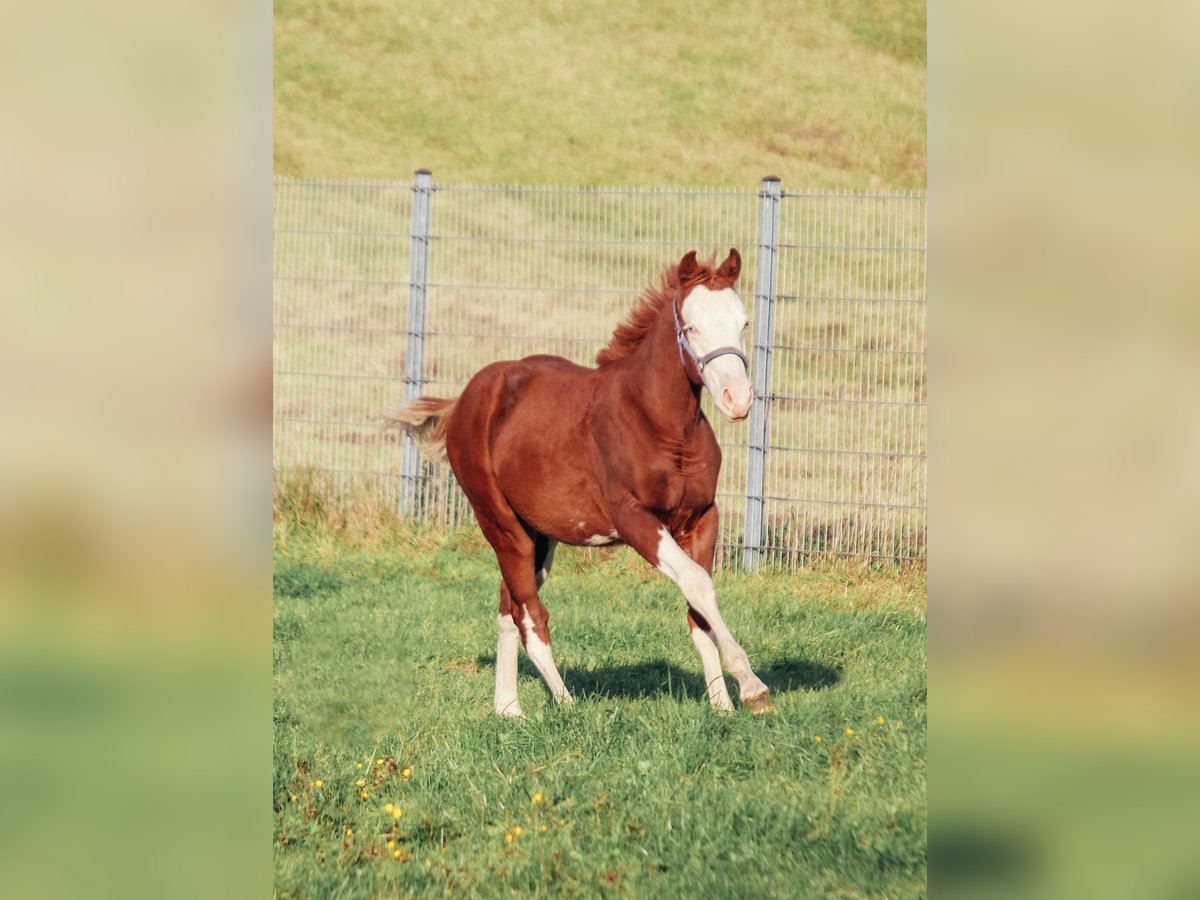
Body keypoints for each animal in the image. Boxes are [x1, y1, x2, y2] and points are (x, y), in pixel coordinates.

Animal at [384, 248, 774, 716]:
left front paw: (722, 705)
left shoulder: (701, 518)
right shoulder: (635, 520)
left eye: (744, 323)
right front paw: (752, 686)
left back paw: (508, 709)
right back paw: (565, 702)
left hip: (537, 536)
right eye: (691, 327)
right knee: (530, 615)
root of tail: (465, 399)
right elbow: (697, 582)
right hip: (501, 525)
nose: (738, 399)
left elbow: (699, 605)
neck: (661, 425)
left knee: (508, 607)